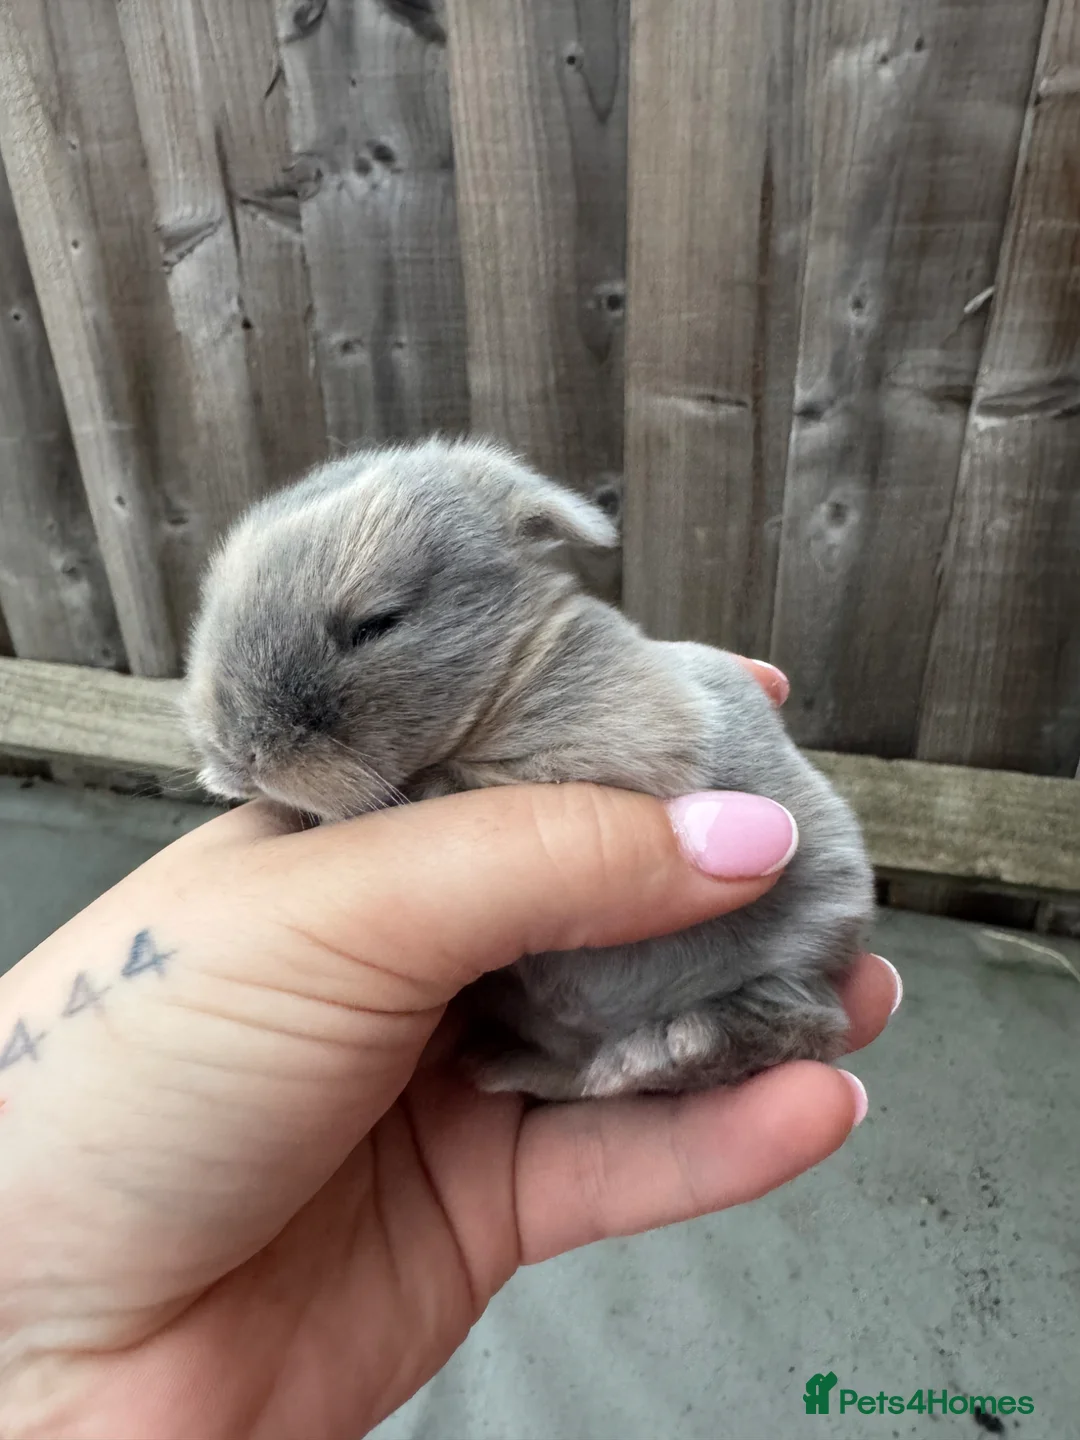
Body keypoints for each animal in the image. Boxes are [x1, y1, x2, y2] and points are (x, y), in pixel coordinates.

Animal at [183, 436, 875, 1100]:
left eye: (377, 624)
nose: (240, 755)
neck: (510, 672)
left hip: (790, 961)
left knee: (801, 1024)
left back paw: (665, 1050)